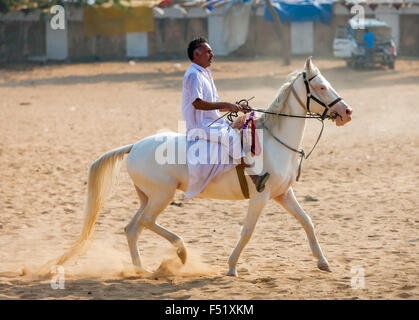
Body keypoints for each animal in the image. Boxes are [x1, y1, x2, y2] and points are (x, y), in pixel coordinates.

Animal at [40, 57, 354, 278]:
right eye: (321, 86)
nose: (347, 112)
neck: (274, 142)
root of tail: (135, 146)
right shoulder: (262, 195)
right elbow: (247, 231)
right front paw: (231, 267)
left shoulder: (282, 194)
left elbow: (307, 222)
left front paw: (323, 263)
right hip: (162, 195)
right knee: (146, 223)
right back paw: (180, 254)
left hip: (148, 197)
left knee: (132, 228)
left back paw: (142, 269)